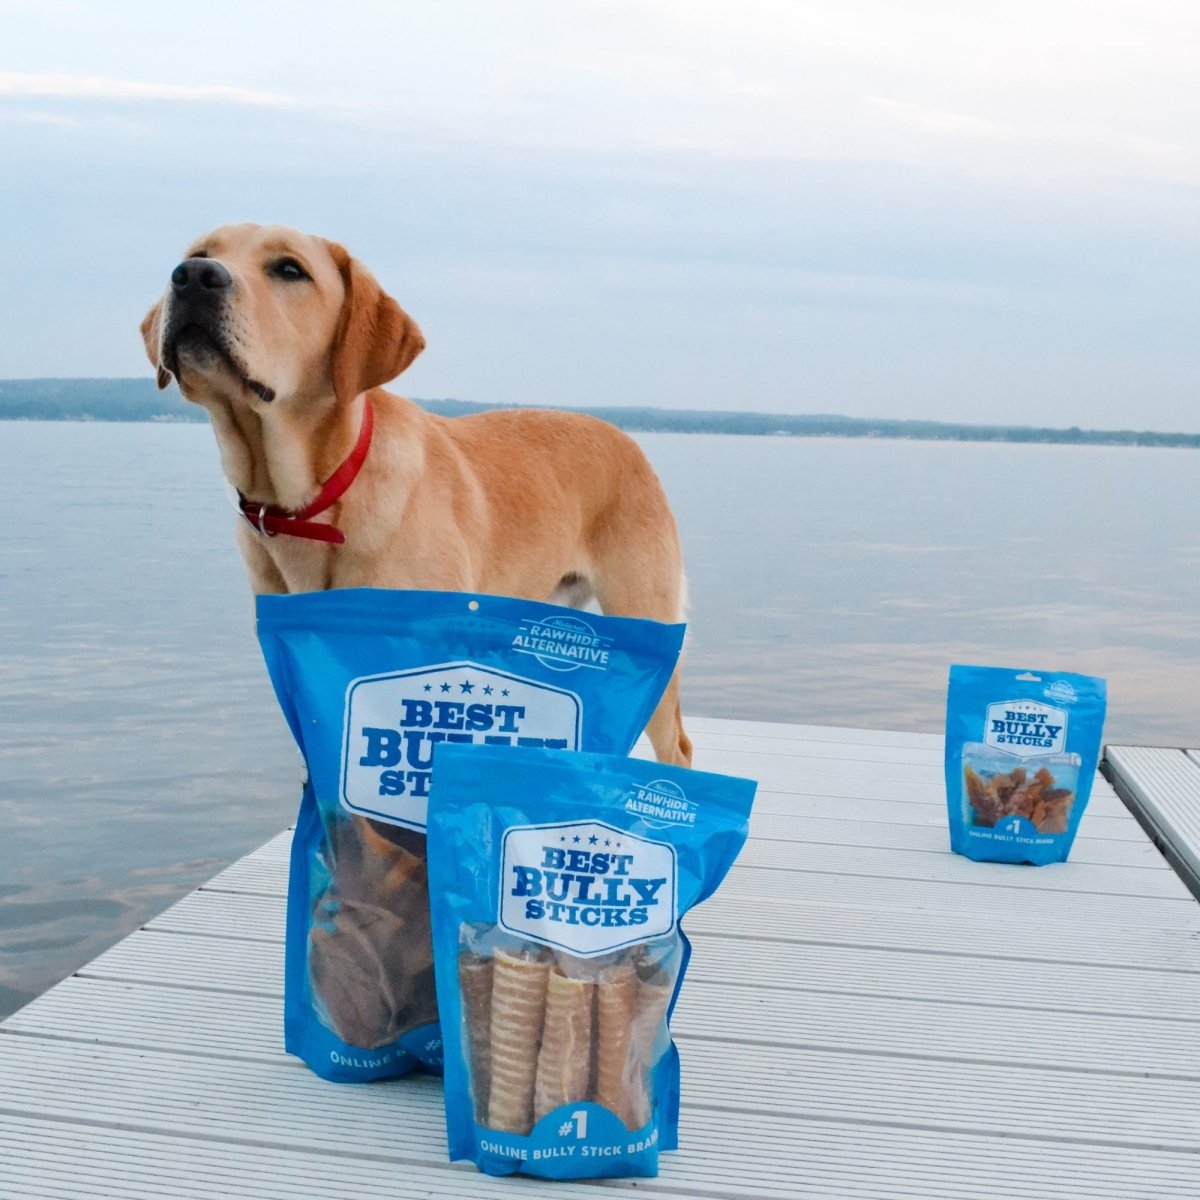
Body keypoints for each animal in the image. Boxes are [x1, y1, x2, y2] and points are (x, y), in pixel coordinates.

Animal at [142, 223, 696, 768]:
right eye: (199, 251)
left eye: (290, 270)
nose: (193, 276)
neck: (316, 501)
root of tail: (628, 439)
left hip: (644, 619)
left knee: (678, 746)